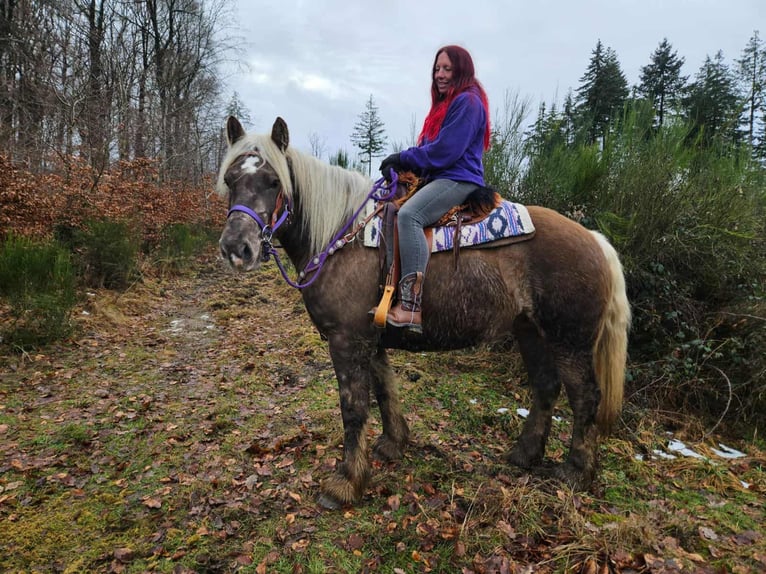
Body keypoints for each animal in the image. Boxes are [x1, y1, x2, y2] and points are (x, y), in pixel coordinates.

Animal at [217, 116, 631, 509]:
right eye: (230, 179)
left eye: (273, 181)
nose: (237, 248)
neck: (341, 237)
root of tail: (596, 240)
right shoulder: (371, 339)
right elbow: (385, 390)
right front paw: (393, 443)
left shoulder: (346, 340)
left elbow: (353, 408)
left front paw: (346, 483)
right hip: (531, 332)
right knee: (546, 386)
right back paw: (524, 454)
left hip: (569, 341)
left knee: (585, 397)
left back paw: (576, 472)